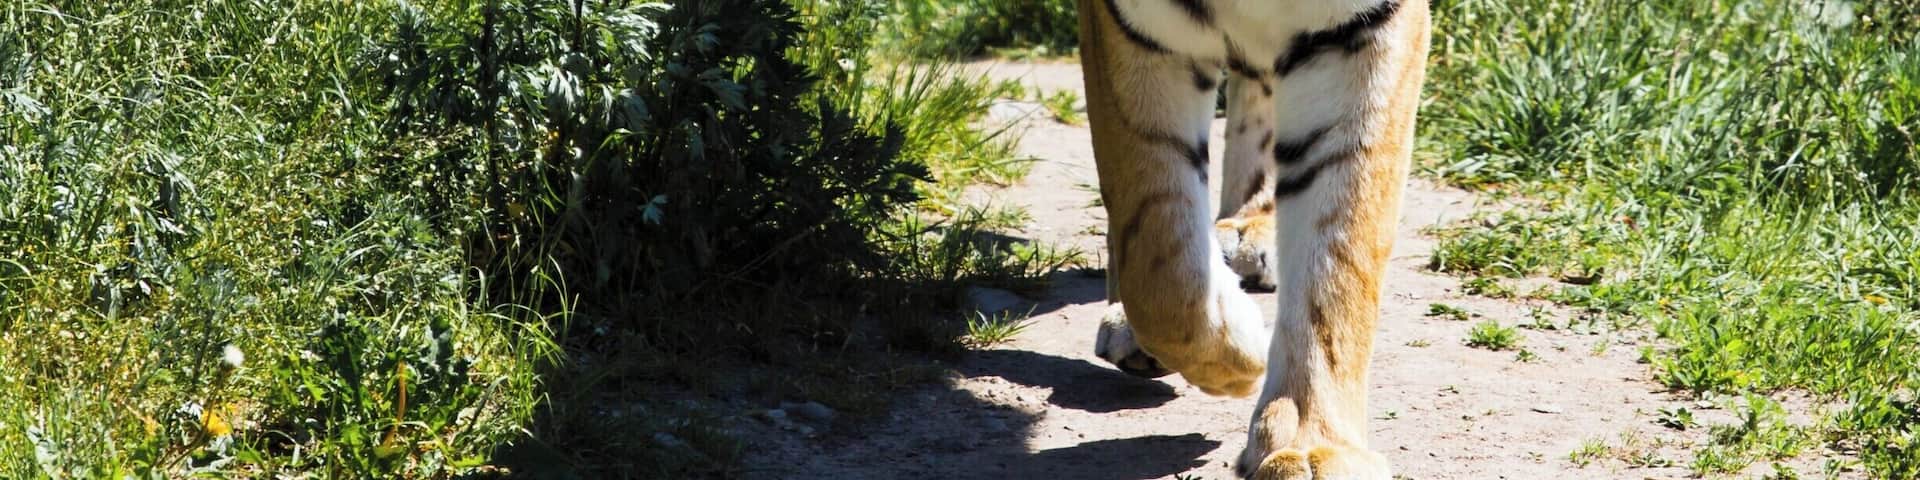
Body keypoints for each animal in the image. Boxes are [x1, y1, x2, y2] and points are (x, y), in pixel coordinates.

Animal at [1074, 0, 1430, 478]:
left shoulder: (1361, 29)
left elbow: (1338, 261)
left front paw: (1313, 444)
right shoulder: (1132, 28)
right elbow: (1158, 254)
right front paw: (1241, 352)